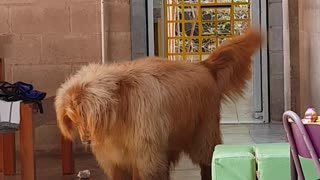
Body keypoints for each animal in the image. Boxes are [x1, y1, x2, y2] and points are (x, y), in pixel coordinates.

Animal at [55, 28, 262, 180]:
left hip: (202, 132)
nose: (86, 140)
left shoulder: (145, 155)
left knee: (207, 161)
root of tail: (203, 66)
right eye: (73, 119)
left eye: (85, 117)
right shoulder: (116, 159)